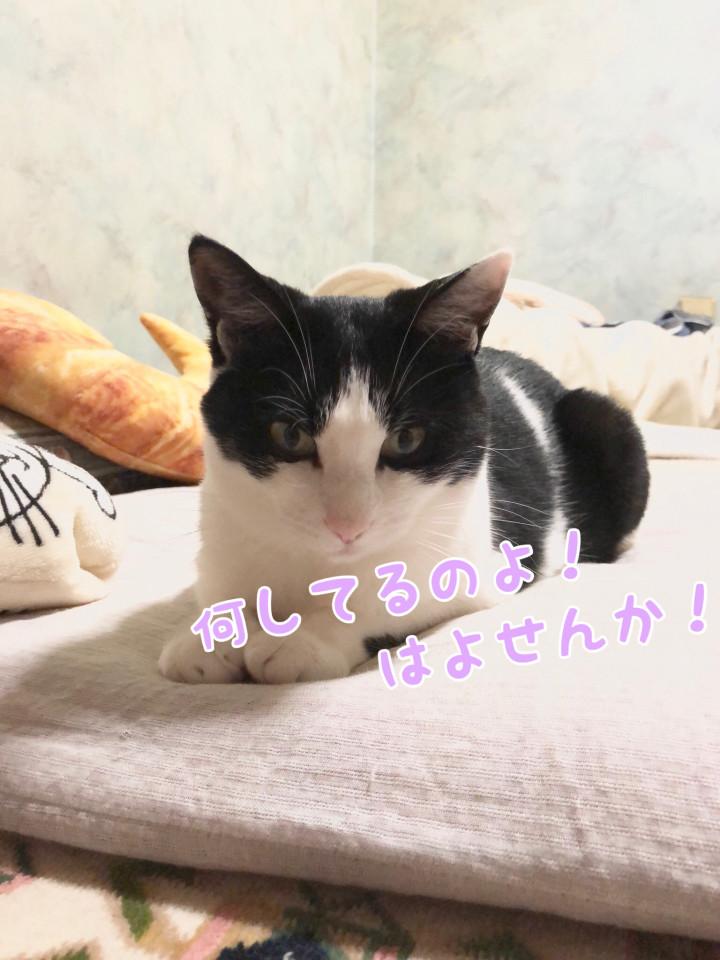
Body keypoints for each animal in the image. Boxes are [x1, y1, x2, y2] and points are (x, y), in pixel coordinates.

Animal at [159, 235, 649, 684]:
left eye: (406, 439)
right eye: (290, 434)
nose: (347, 527)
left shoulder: (480, 564)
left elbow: (393, 598)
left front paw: (304, 640)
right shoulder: (225, 523)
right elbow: (218, 583)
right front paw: (210, 635)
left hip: (606, 424)